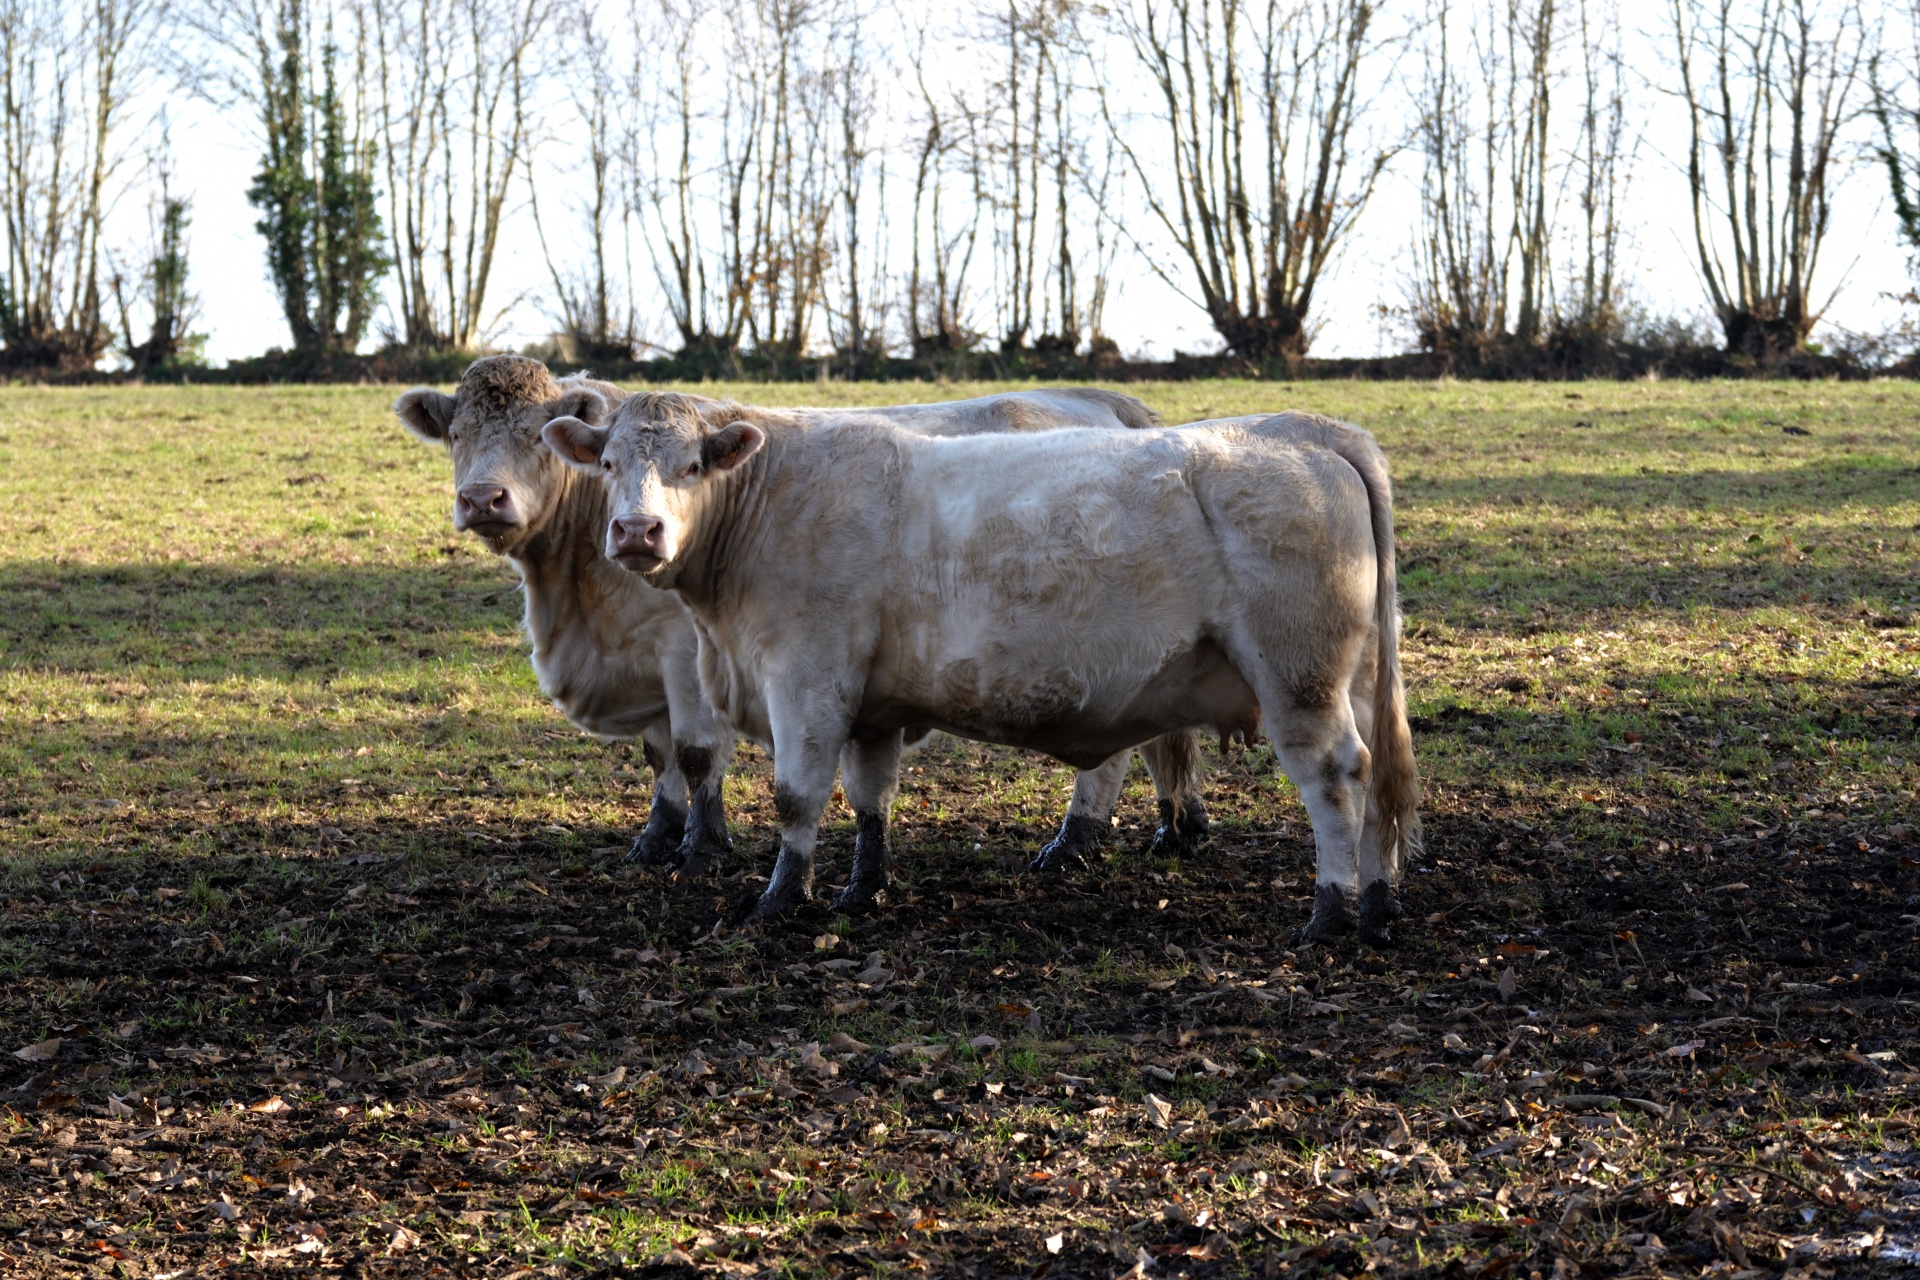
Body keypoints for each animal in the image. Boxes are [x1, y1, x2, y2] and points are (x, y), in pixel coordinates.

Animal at [401, 355, 1213, 886]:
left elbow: (694, 754)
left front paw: (701, 847)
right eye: (456, 433)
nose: (482, 499)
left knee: (1112, 751)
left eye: (538, 433)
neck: (574, 596)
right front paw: (657, 838)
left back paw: (1073, 841)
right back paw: (1171, 827)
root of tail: (1097, 399)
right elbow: (659, 757)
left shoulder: (687, 656)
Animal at [549, 395, 1420, 948]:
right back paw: (1377, 902)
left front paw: (778, 899)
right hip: (1355, 677)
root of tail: (1304, 429)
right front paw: (861, 888)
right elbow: (870, 798)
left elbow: (797, 798)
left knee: (1336, 779)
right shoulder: (870, 706)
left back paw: (1331, 914)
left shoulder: (805, 679)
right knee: (1378, 784)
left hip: (1298, 676)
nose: (636, 531)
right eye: (610, 463)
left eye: (694, 464)